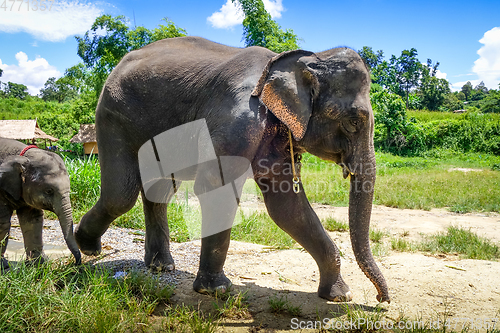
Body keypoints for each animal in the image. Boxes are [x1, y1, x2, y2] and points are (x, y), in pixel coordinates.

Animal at [0, 137, 81, 268]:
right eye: (49, 191)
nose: (76, 263)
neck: (22, 156)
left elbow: (32, 220)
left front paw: (39, 264)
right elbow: (2, 223)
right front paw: (4, 266)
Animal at [74, 35, 388, 300]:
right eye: (354, 122)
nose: (381, 299)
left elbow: (287, 206)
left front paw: (339, 296)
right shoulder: (237, 120)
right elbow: (216, 187)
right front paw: (216, 290)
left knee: (158, 191)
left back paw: (161, 267)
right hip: (112, 115)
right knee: (121, 193)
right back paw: (86, 246)